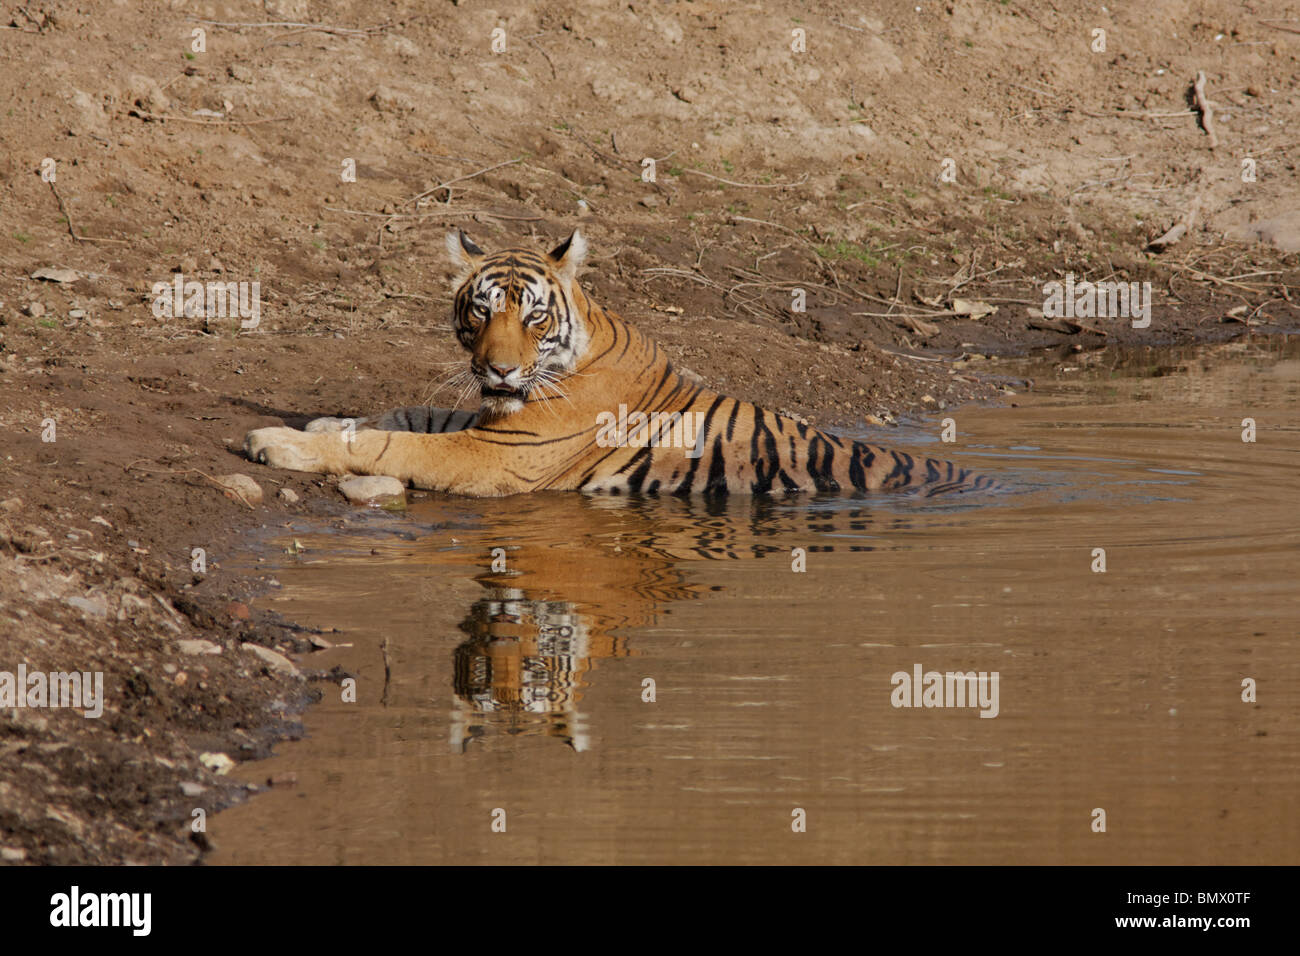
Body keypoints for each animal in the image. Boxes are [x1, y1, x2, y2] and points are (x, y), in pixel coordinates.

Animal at [241, 228, 993, 496]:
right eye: (481, 311)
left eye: (533, 317)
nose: (500, 370)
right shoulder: (495, 421)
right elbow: (409, 412)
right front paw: (323, 422)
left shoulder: (497, 456)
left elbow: (392, 444)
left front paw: (276, 441)